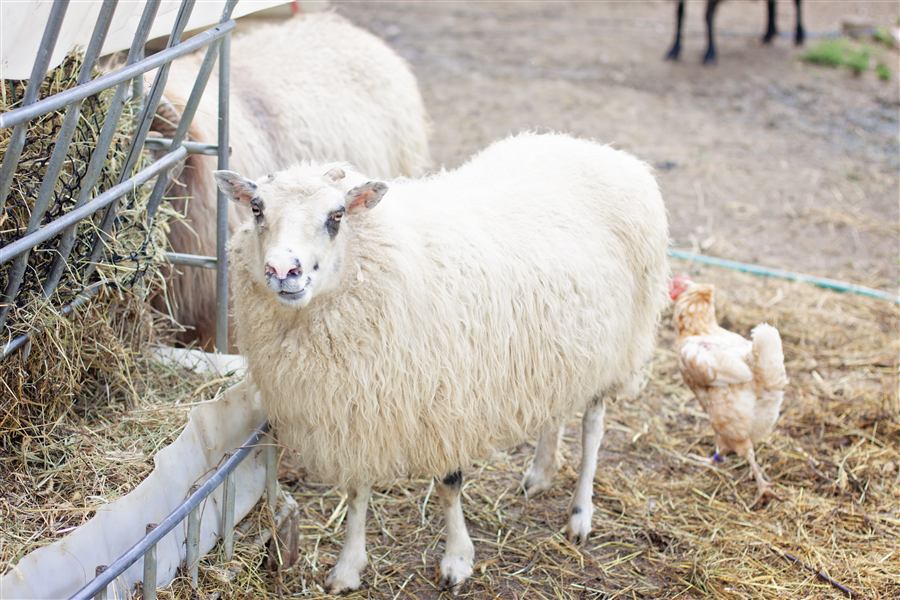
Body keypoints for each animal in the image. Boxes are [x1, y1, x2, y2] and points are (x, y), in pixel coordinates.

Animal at [215, 132, 670, 592]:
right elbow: (357, 491)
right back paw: (540, 473)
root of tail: (598, 149)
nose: (282, 270)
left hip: (616, 346)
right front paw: (348, 567)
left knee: (593, 430)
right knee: (555, 409)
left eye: (337, 215)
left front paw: (457, 560)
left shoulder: (447, 404)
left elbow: (450, 485)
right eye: (257, 209)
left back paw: (580, 513)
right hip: (560, 350)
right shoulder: (359, 409)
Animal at [666, 0, 806, 64]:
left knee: (797, 3)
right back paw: (769, 34)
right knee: (771, 3)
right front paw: (674, 50)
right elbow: (680, 14)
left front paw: (710, 54)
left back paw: (799, 36)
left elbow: (708, 16)